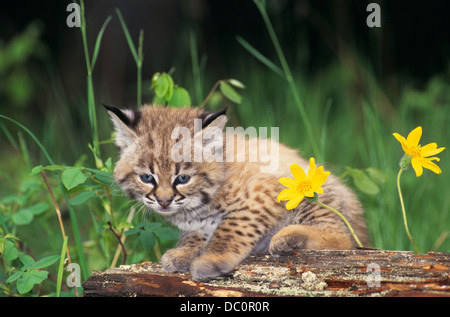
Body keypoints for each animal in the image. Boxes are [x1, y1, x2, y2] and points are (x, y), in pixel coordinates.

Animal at [106, 104, 370, 278]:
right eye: (146, 177)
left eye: (182, 178)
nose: (163, 202)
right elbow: (196, 234)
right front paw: (186, 251)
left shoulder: (260, 196)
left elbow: (230, 231)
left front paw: (210, 260)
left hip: (306, 192)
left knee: (344, 238)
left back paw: (288, 236)